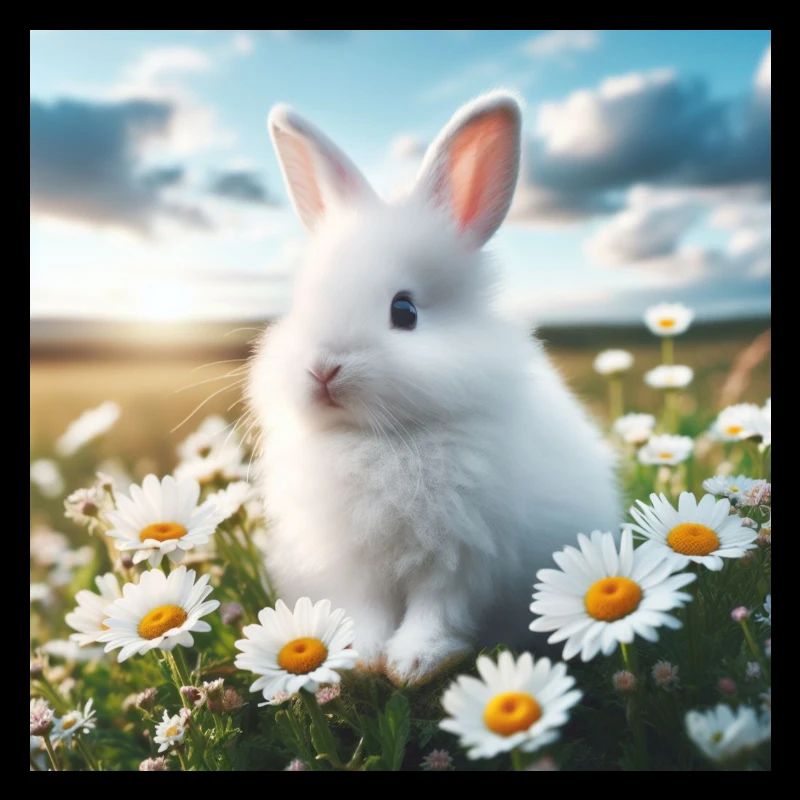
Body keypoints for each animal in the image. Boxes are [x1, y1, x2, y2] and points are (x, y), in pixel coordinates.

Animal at [247, 90, 620, 686]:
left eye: (405, 311)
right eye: (302, 305)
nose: (323, 369)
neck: (378, 440)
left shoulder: (462, 557)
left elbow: (435, 611)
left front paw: (413, 664)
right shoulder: (356, 565)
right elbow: (369, 612)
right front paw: (356, 658)